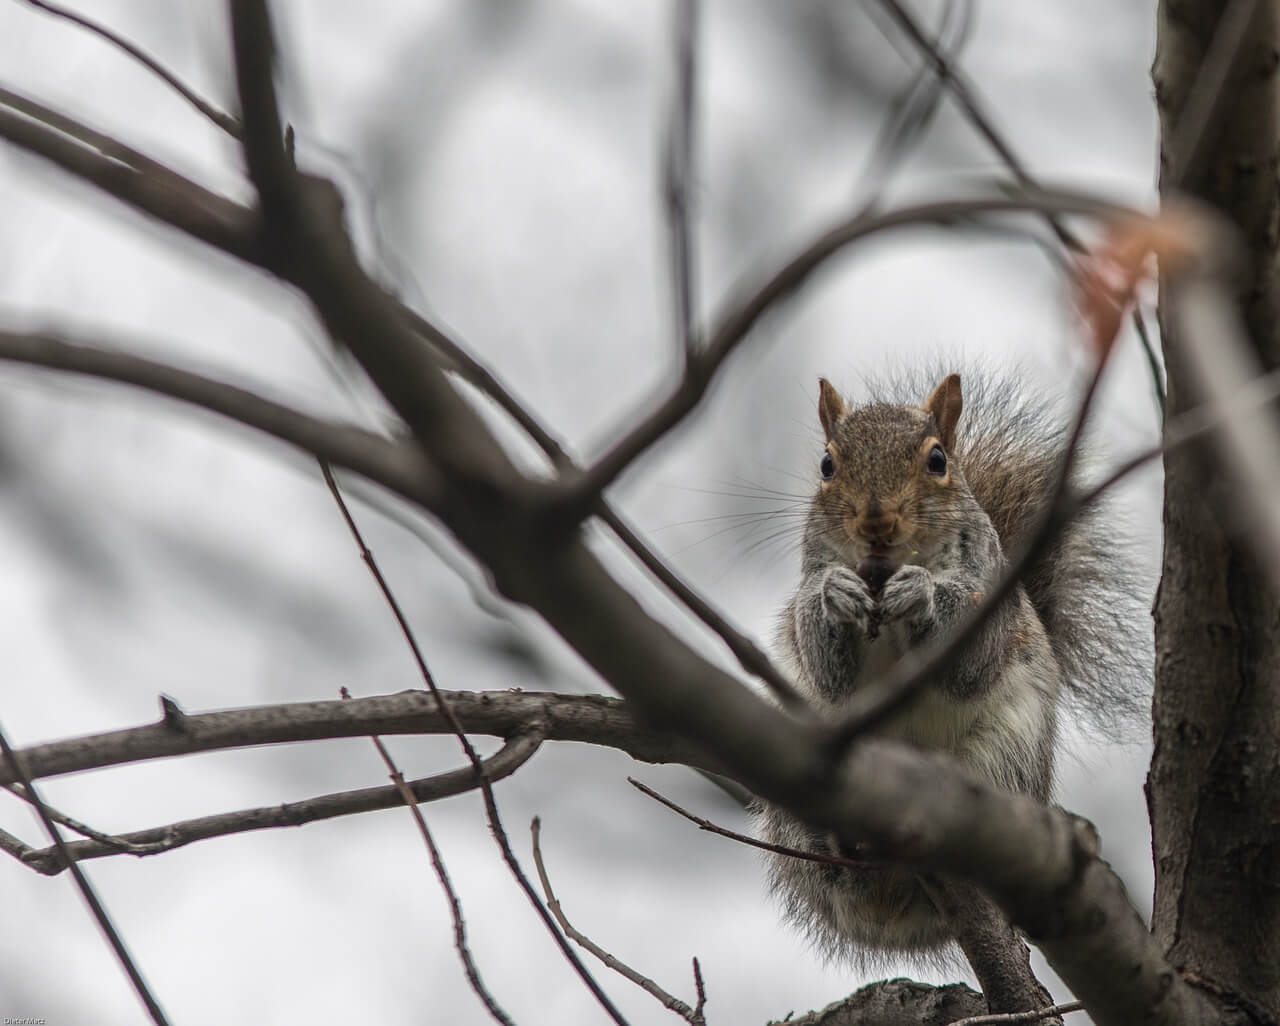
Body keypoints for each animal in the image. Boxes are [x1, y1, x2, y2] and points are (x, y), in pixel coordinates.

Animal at [752, 365, 1146, 962]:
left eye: (937, 460)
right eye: (827, 464)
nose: (876, 519)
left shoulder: (992, 597)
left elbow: (970, 666)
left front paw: (921, 592)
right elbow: (826, 667)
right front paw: (836, 594)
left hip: (1005, 762)